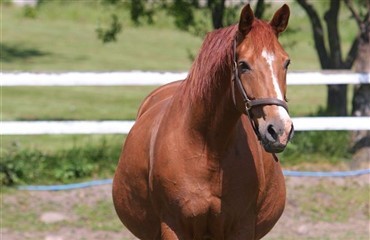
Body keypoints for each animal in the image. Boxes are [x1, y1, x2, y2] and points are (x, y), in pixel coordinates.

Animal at [113, 4, 294, 240]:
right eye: (243, 65)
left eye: (286, 62)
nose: (279, 130)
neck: (208, 150)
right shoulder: (173, 227)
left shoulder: (242, 227)